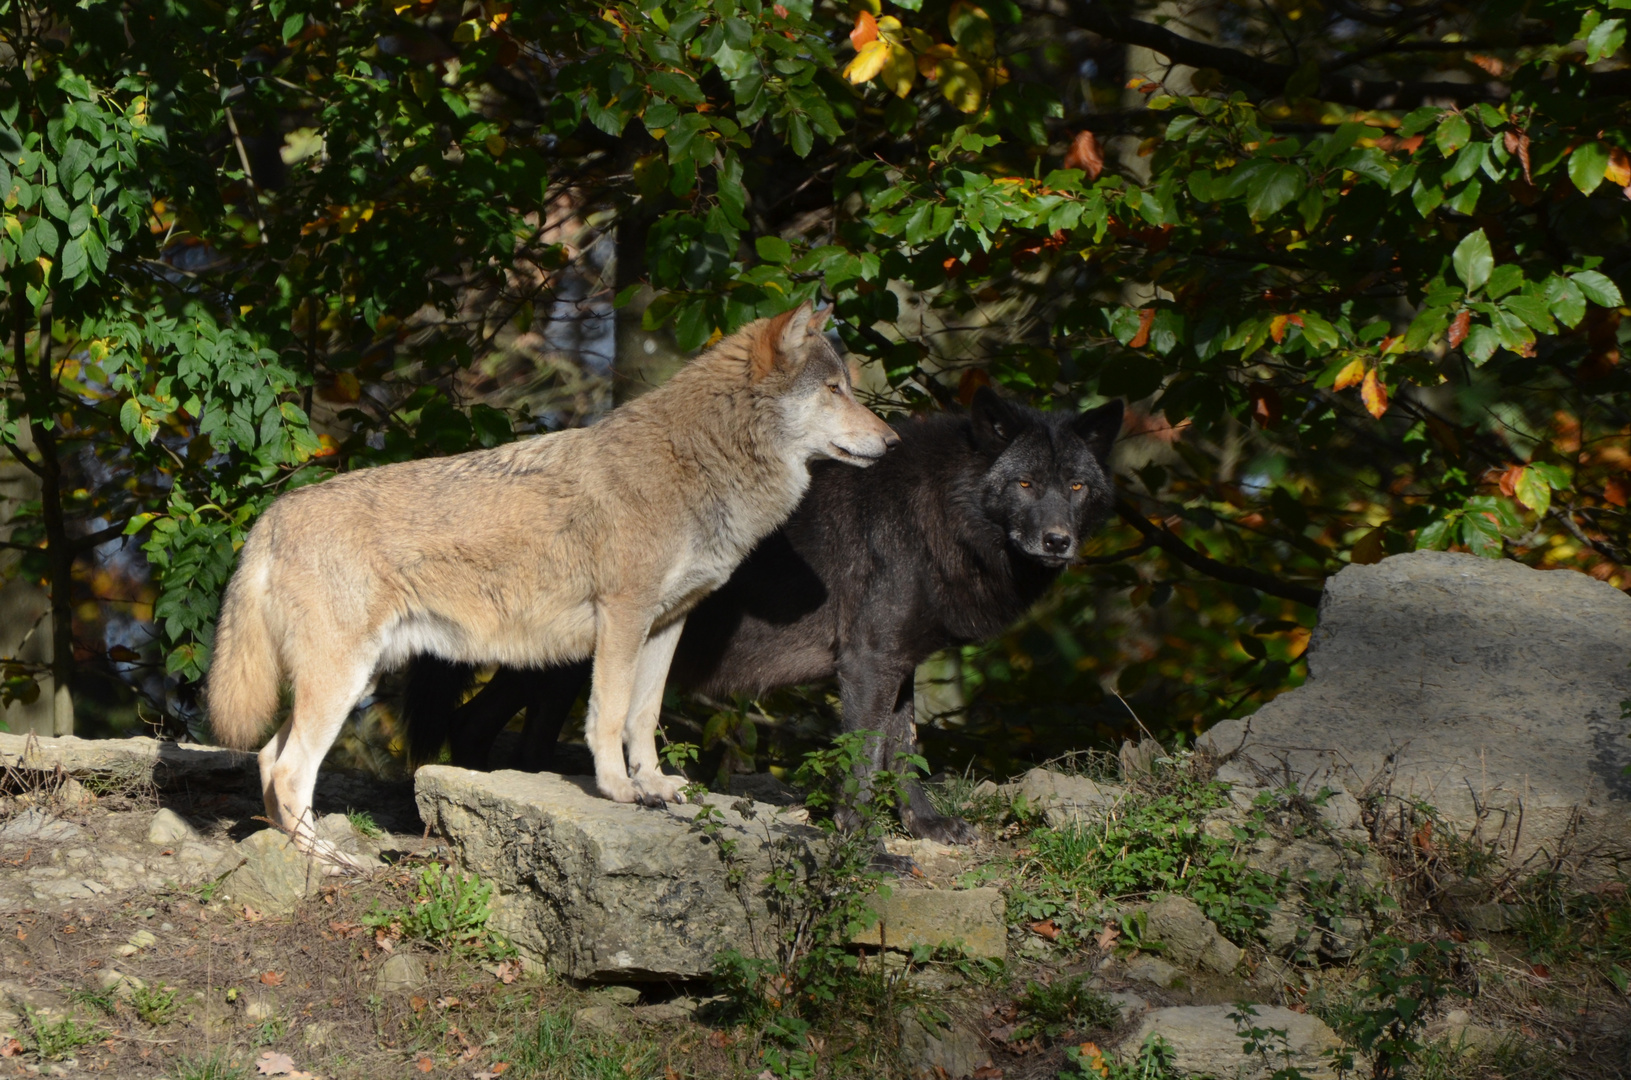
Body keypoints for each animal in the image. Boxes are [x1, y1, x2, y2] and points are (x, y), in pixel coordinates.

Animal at [208, 305, 900, 861]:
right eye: (835, 389)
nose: (893, 441)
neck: (698, 461)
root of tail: (272, 516)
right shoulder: (621, 618)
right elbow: (610, 715)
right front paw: (617, 789)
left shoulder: (665, 625)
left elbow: (643, 716)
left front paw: (654, 785)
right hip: (342, 683)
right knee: (290, 769)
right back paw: (328, 861)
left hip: (352, 680)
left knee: (267, 760)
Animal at [406, 391, 1122, 848]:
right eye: (1025, 485)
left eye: (1076, 487)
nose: (1058, 541)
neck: (937, 515)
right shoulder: (868, 661)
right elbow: (866, 761)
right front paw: (862, 843)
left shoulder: (898, 663)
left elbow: (903, 751)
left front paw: (926, 827)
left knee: (486, 728)